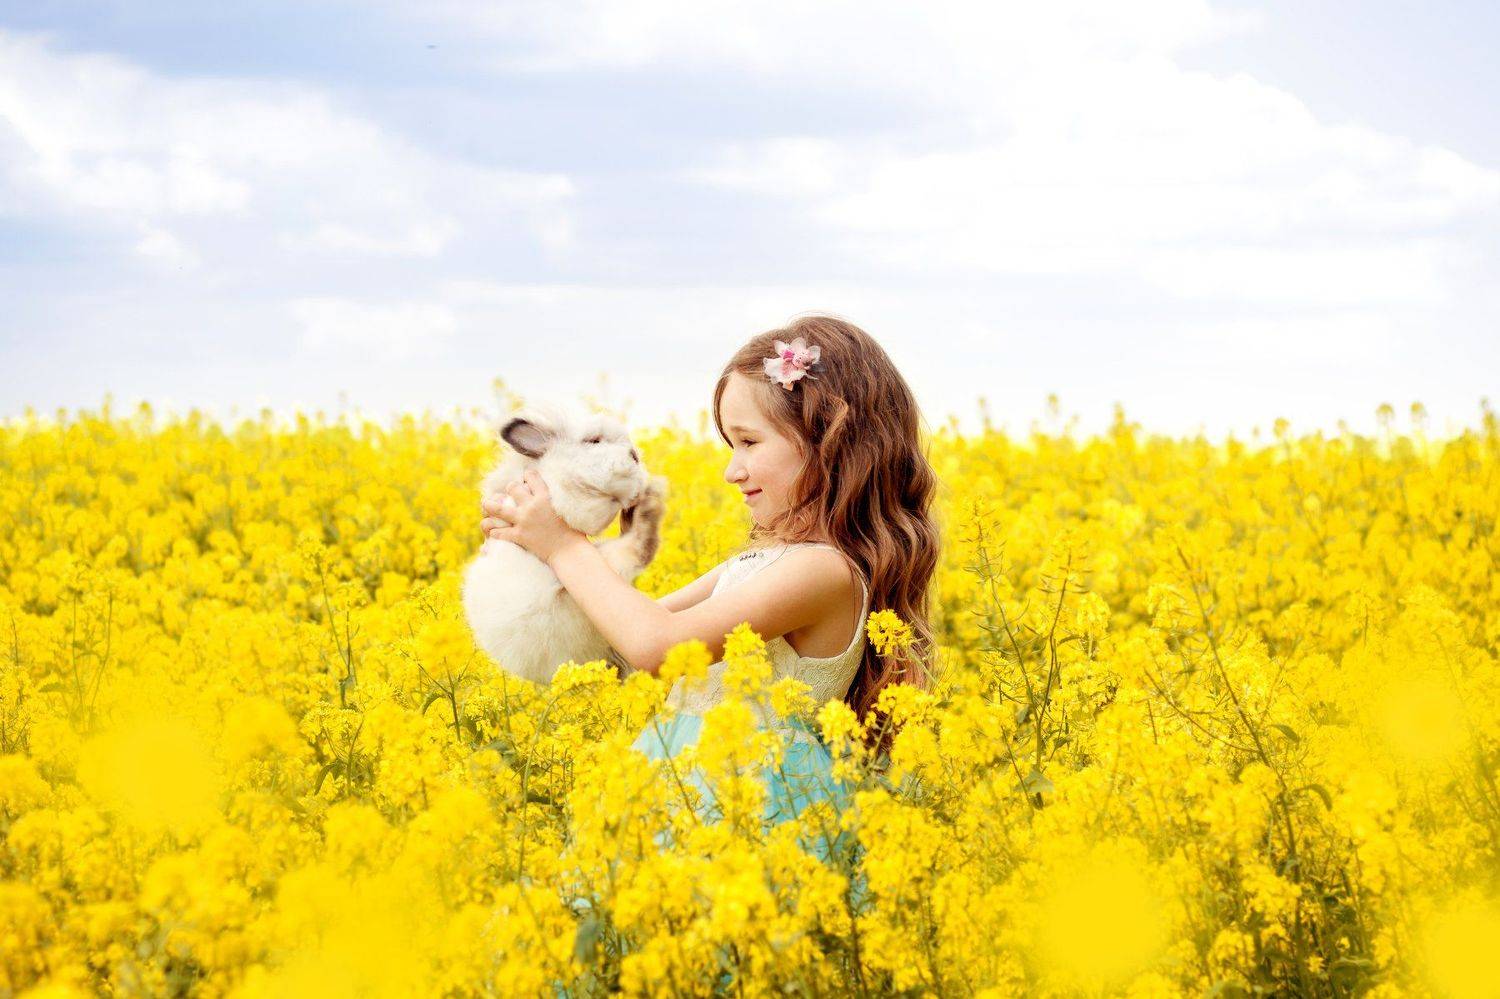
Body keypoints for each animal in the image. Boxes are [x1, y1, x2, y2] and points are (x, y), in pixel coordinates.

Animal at [461, 399, 667, 684]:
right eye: (593, 441)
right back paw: (649, 506)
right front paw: (633, 497)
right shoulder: (573, 503)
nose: (635, 455)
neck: (555, 474)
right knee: (635, 550)